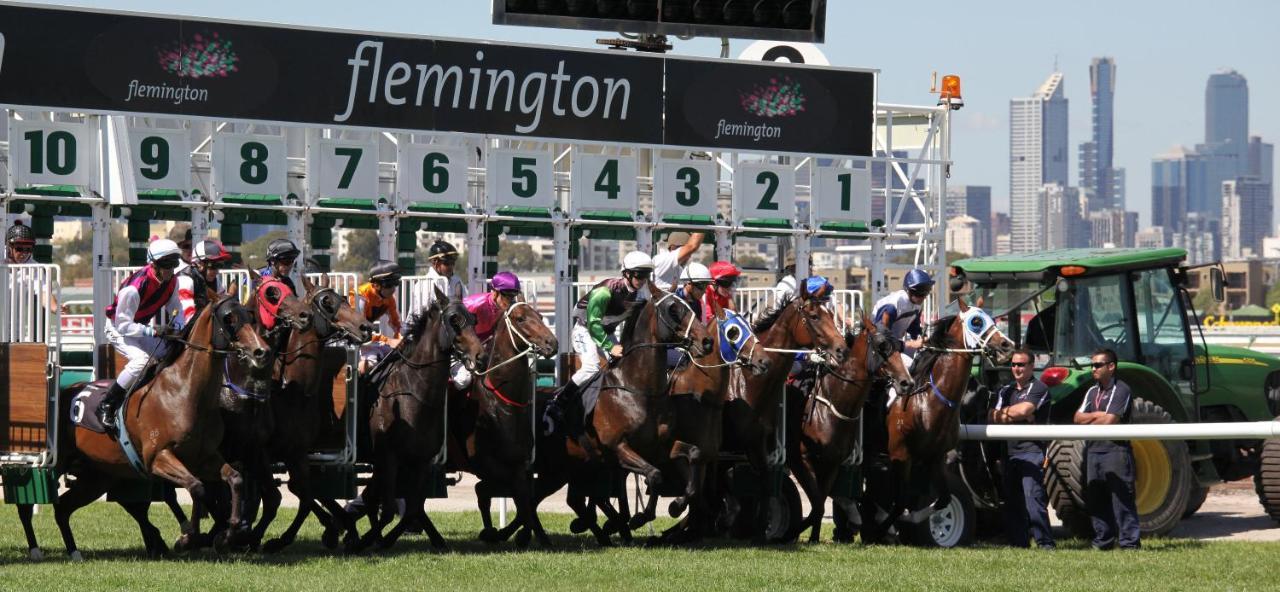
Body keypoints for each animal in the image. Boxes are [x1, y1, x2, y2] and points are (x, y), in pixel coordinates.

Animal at [51, 296, 270, 558]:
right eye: (229, 318)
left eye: (249, 316)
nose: (261, 351)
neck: (184, 392)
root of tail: (65, 393)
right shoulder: (158, 457)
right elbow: (196, 488)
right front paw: (187, 538)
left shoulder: (204, 457)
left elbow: (234, 479)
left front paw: (227, 534)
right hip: (61, 464)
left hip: (98, 475)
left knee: (63, 508)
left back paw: (75, 552)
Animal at [358, 289, 486, 553]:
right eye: (454, 320)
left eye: (474, 319)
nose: (480, 356)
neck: (414, 394)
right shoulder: (389, 457)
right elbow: (390, 510)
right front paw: (363, 541)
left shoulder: (421, 461)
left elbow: (412, 510)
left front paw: (383, 540)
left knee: (369, 497)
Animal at [783, 316, 916, 543]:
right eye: (882, 346)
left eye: (899, 346)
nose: (906, 382)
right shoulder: (800, 459)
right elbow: (818, 504)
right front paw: (788, 532)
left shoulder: (831, 463)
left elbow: (820, 503)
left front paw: (813, 538)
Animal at [865, 296, 1013, 545]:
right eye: (976, 322)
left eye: (993, 320)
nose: (1007, 346)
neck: (928, 401)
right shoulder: (900, 454)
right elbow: (900, 502)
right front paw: (879, 530)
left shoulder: (935, 457)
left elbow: (941, 498)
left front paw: (923, 520)